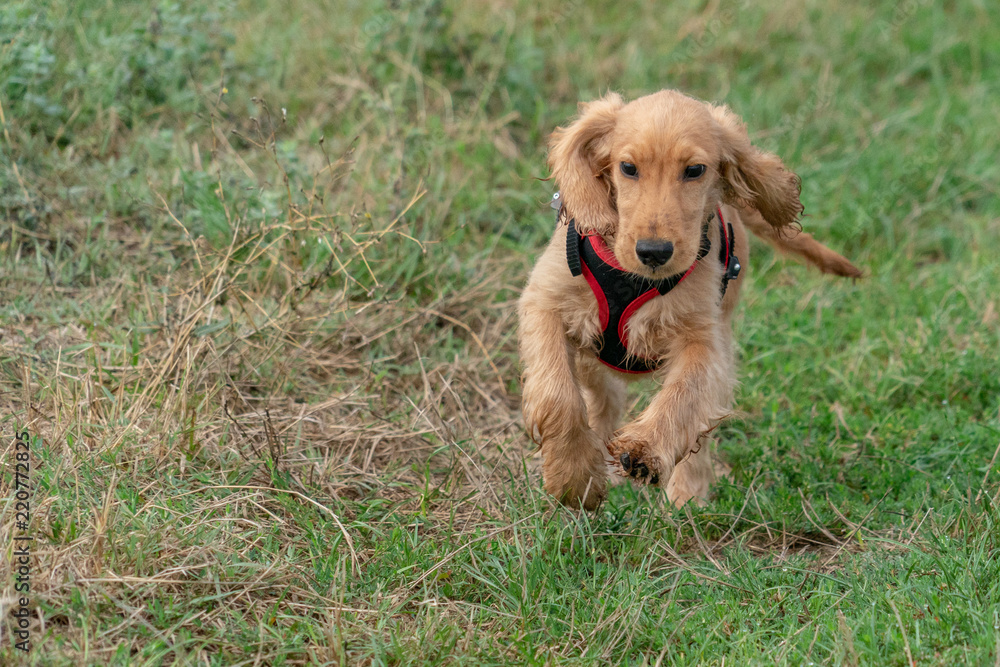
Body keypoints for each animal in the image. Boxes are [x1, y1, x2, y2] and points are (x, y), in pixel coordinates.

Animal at [516, 88, 860, 508]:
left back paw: (688, 494)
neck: (635, 280)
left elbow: (685, 395)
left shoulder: (704, 341)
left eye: (695, 170)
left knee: (698, 424)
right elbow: (558, 394)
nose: (654, 252)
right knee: (604, 396)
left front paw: (645, 451)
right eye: (627, 167)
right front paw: (574, 476)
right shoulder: (545, 301)